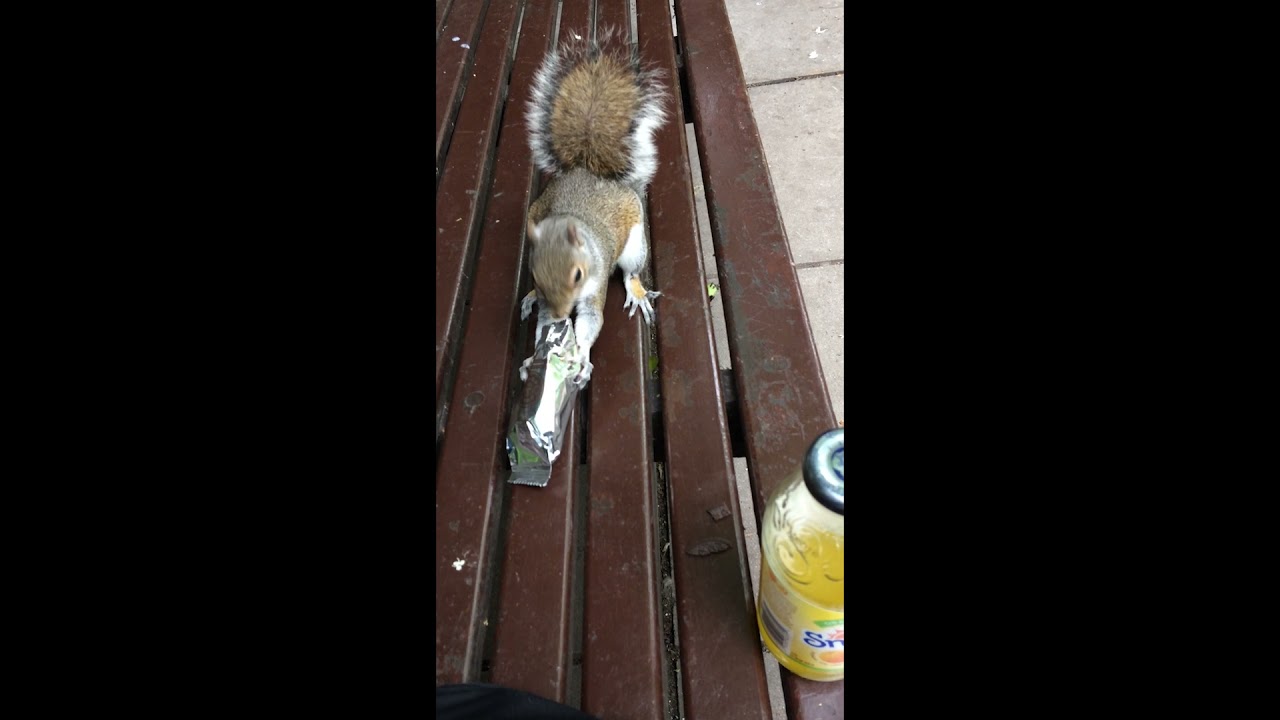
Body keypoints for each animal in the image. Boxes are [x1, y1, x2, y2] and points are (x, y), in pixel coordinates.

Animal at [519, 30, 668, 385]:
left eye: (578, 273)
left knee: (631, 270)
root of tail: (588, 169)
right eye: (535, 272)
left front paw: (582, 356)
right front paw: (532, 358)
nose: (560, 313)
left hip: (635, 243)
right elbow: (544, 326)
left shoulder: (595, 281)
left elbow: (590, 321)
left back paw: (637, 291)